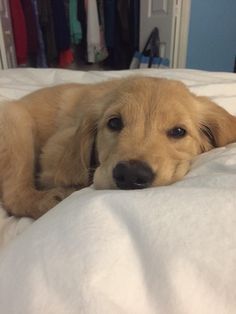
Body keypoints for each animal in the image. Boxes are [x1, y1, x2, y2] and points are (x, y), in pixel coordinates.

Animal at [0, 76, 236, 218]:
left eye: (178, 131)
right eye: (114, 123)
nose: (131, 175)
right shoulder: (52, 152)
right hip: (16, 118)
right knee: (14, 196)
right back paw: (49, 199)